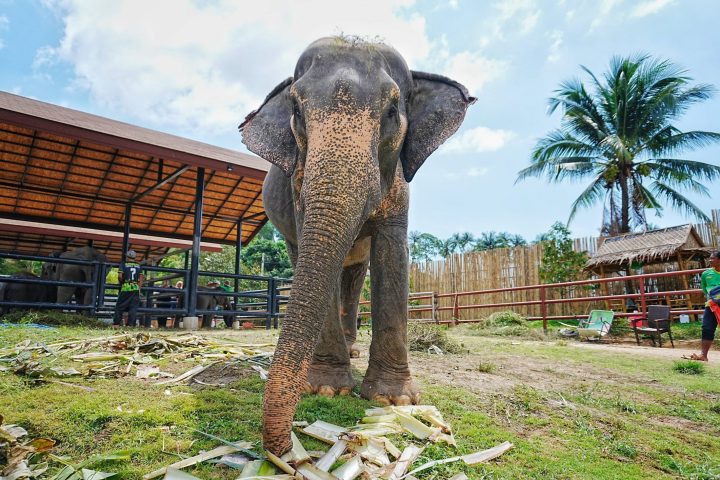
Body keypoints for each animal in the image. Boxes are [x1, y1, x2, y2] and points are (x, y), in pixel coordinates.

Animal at [240, 36, 475, 454]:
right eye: (297, 111)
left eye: (393, 111)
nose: (283, 449)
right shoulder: (297, 187)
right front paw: (326, 389)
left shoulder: (398, 186)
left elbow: (392, 252)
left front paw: (393, 400)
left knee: (354, 277)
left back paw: (353, 349)